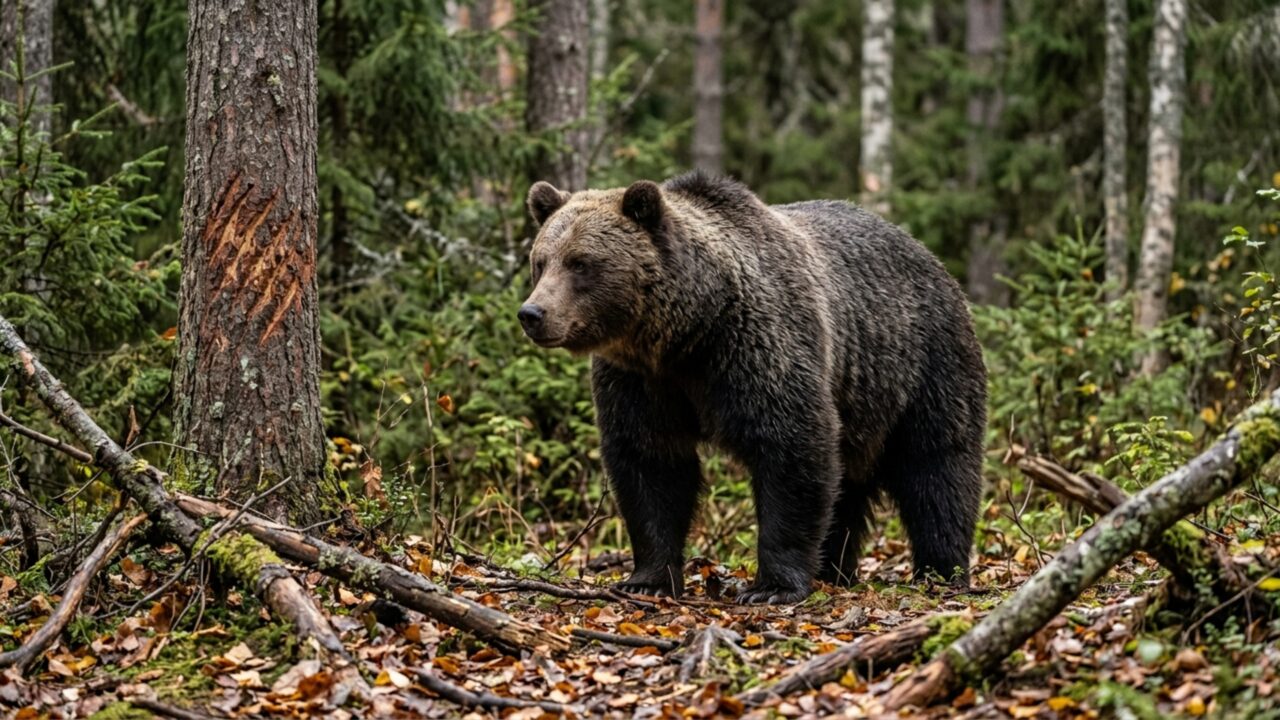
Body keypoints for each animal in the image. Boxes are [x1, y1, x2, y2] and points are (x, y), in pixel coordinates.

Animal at [518, 171, 987, 604]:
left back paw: (940, 571)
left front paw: (771, 586)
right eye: (541, 260)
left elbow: (790, 446)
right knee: (847, 488)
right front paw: (647, 579)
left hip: (923, 362)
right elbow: (650, 462)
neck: (685, 335)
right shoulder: (641, 381)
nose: (532, 313)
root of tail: (929, 256)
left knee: (937, 467)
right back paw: (834, 570)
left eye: (580, 263)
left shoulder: (756, 345)